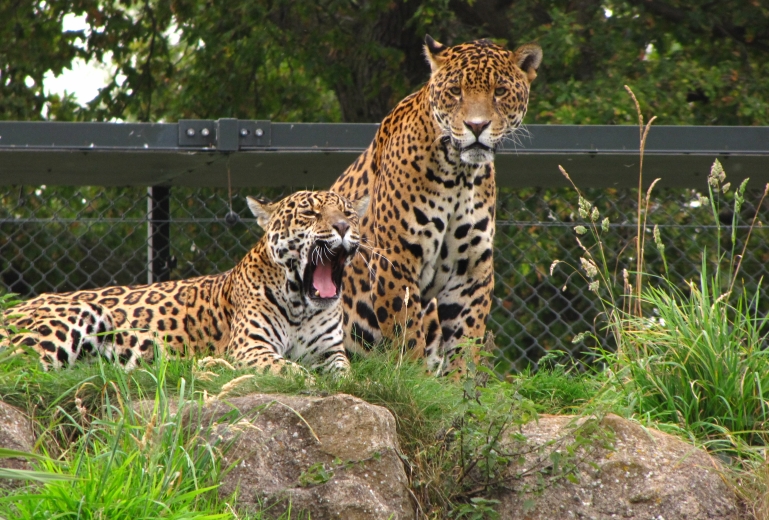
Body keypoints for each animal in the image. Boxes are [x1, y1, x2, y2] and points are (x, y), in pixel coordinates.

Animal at [2, 190, 368, 374]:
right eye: (309, 213)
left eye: (349, 213)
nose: (343, 227)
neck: (300, 306)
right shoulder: (250, 347)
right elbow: (288, 370)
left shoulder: (330, 351)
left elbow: (345, 374)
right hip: (71, 318)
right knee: (20, 365)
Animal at [331, 35, 542, 375]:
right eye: (455, 91)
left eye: (499, 91)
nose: (476, 126)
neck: (459, 173)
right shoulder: (396, 260)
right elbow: (407, 335)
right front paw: (413, 378)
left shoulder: (470, 271)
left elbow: (466, 340)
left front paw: (461, 384)